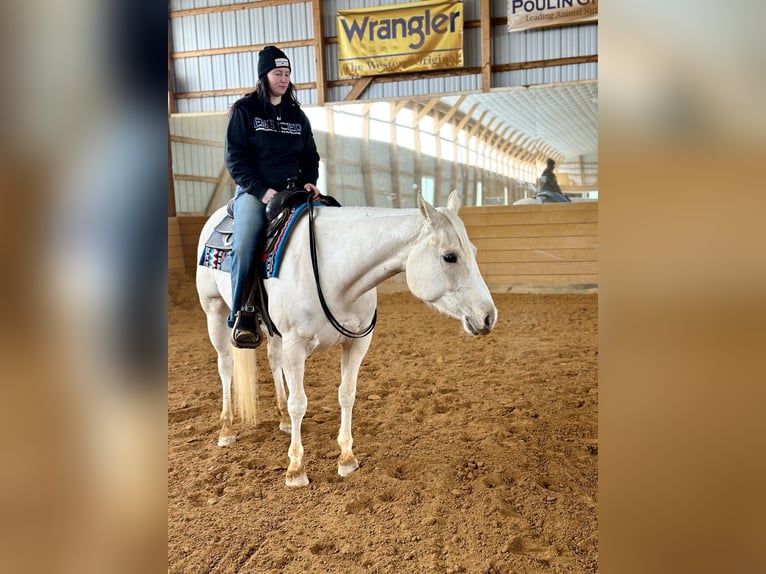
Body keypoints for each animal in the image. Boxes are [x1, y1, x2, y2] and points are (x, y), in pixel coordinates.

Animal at [195, 191, 497, 487]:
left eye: (473, 252)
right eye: (450, 257)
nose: (488, 317)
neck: (333, 272)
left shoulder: (357, 343)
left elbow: (346, 395)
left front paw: (347, 458)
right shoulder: (295, 347)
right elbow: (299, 403)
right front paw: (295, 469)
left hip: (273, 332)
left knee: (272, 361)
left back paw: (281, 419)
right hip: (214, 311)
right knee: (225, 366)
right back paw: (226, 429)